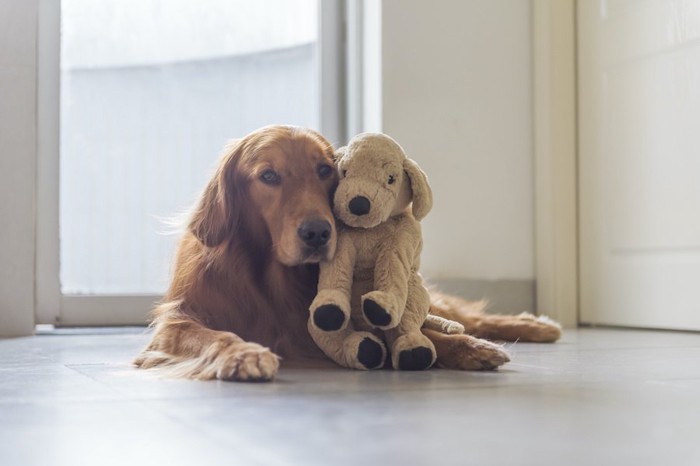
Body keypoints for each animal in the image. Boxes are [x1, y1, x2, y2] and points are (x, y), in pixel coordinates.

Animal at [135, 125, 564, 380]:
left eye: (325, 170)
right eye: (268, 176)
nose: (317, 233)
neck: (269, 279)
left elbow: (420, 332)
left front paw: (465, 348)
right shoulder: (176, 322)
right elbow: (214, 335)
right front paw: (242, 353)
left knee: (468, 316)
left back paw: (535, 325)